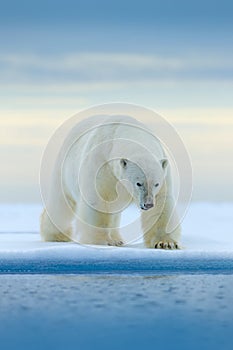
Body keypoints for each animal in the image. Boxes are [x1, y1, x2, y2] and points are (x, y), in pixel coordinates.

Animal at [41, 115, 181, 249]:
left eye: (156, 183)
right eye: (138, 183)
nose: (148, 204)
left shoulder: (163, 174)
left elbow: (162, 204)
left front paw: (166, 243)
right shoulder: (102, 163)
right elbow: (99, 200)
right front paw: (103, 241)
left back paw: (118, 239)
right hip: (64, 169)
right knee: (61, 204)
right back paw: (57, 235)